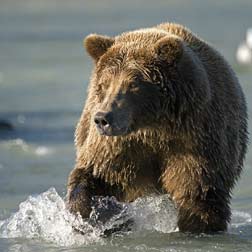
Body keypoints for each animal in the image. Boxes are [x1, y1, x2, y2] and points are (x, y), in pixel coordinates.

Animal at [66, 22, 248, 233]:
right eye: (104, 84)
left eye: (133, 84)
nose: (103, 118)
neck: (153, 127)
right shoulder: (118, 146)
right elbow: (97, 174)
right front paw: (91, 216)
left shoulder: (194, 140)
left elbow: (197, 193)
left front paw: (196, 225)